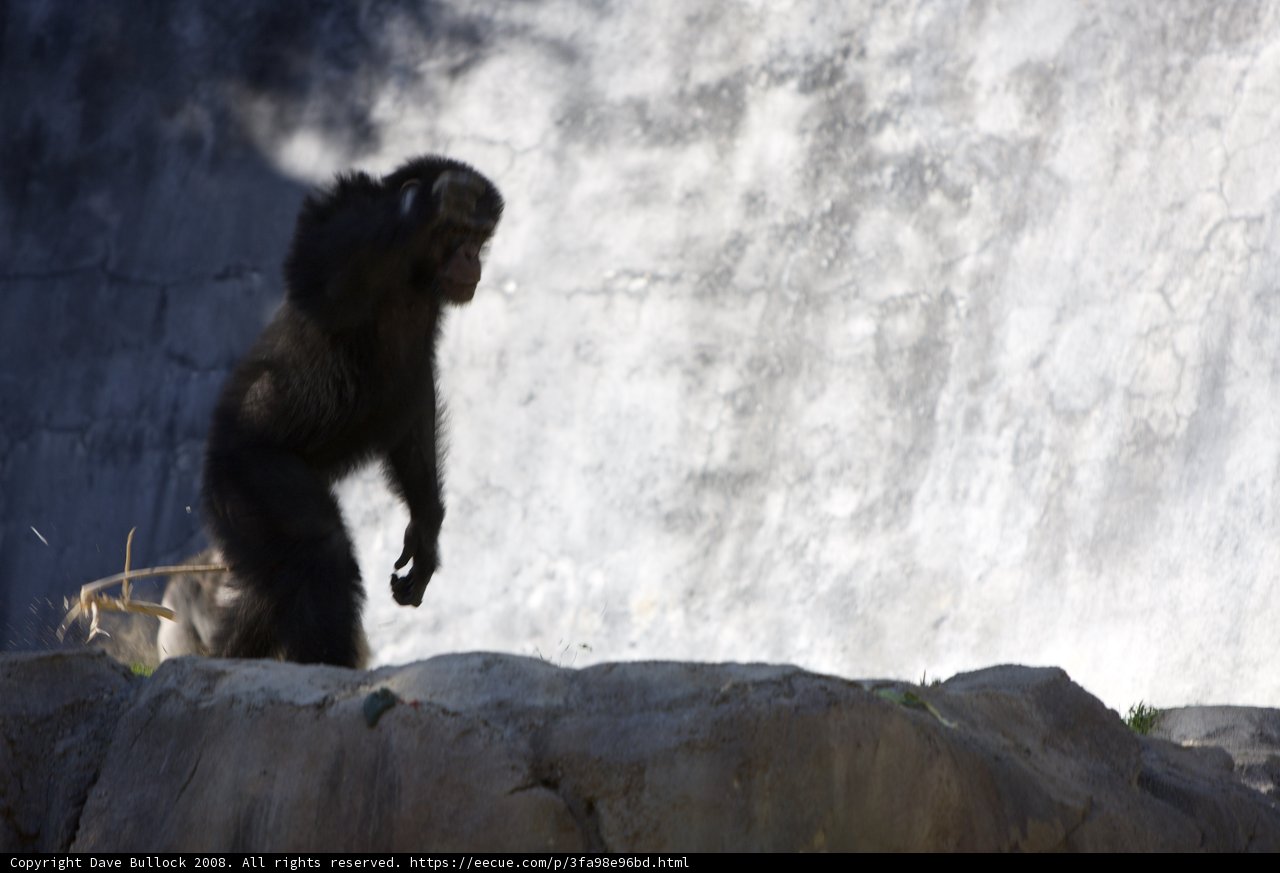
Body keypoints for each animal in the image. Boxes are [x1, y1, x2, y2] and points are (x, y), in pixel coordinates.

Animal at [199, 154, 503, 667]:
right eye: (455, 231)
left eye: (479, 236)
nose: (470, 256)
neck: (411, 271)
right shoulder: (342, 224)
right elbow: (317, 270)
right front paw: (433, 199)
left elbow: (414, 398)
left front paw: (426, 530)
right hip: (248, 474)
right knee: (320, 547)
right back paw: (330, 664)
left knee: (267, 590)